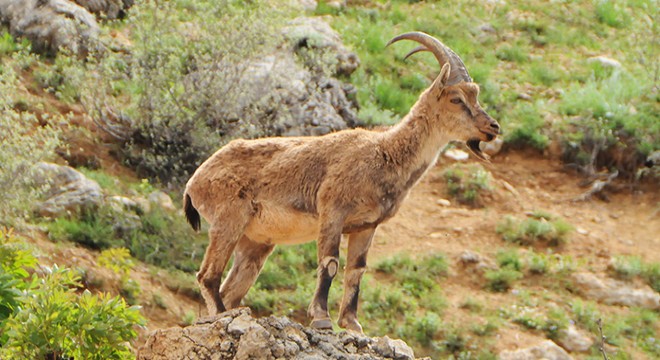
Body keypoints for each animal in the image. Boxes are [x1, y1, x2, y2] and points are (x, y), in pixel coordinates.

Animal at [183, 31, 498, 332]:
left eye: (476, 95)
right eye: (456, 98)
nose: (493, 127)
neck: (385, 154)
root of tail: (194, 182)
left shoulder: (366, 226)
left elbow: (356, 271)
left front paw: (352, 324)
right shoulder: (332, 210)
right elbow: (330, 262)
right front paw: (321, 318)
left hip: (256, 242)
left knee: (231, 287)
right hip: (229, 219)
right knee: (207, 275)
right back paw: (221, 314)